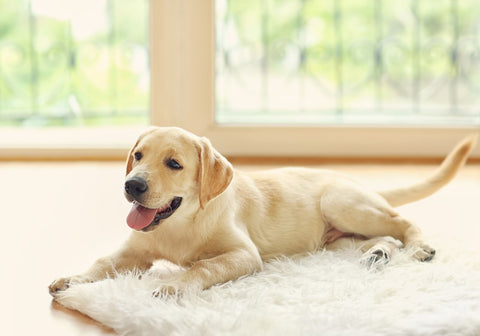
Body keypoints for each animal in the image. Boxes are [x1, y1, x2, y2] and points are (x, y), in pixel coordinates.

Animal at [48, 126, 476, 296]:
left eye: (174, 164)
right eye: (137, 156)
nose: (132, 185)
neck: (181, 224)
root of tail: (356, 181)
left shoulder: (242, 255)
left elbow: (203, 267)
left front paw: (173, 285)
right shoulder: (134, 250)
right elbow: (104, 262)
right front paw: (74, 279)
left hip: (342, 204)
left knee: (402, 222)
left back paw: (419, 247)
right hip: (334, 240)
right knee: (384, 235)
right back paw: (378, 254)